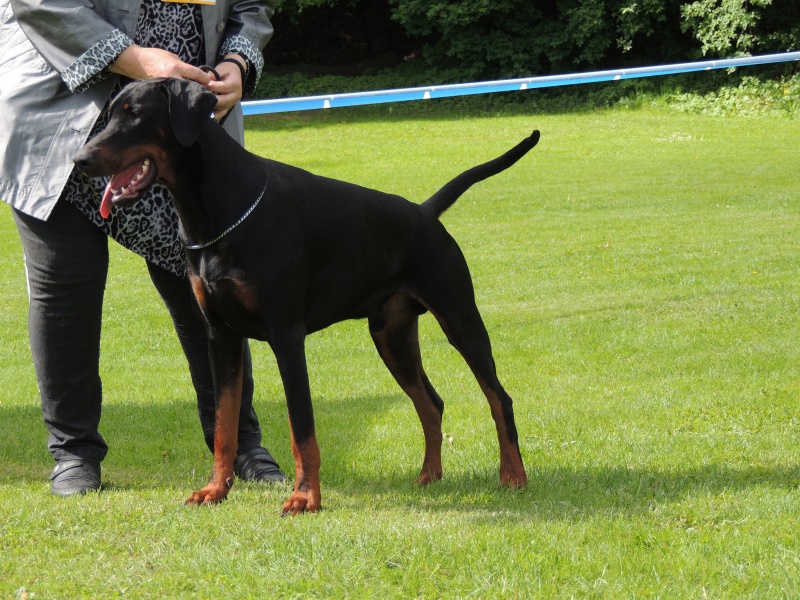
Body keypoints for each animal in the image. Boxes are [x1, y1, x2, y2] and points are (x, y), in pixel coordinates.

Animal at [73, 78, 538, 515]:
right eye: (108, 114)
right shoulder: (221, 337)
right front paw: (215, 490)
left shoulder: (286, 337)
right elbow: (224, 426)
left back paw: (513, 475)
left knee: (499, 398)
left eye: (135, 115)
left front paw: (305, 497)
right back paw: (429, 476)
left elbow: (302, 429)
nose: (80, 160)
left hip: (460, 318)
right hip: (392, 336)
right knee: (431, 404)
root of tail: (425, 212)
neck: (218, 215)